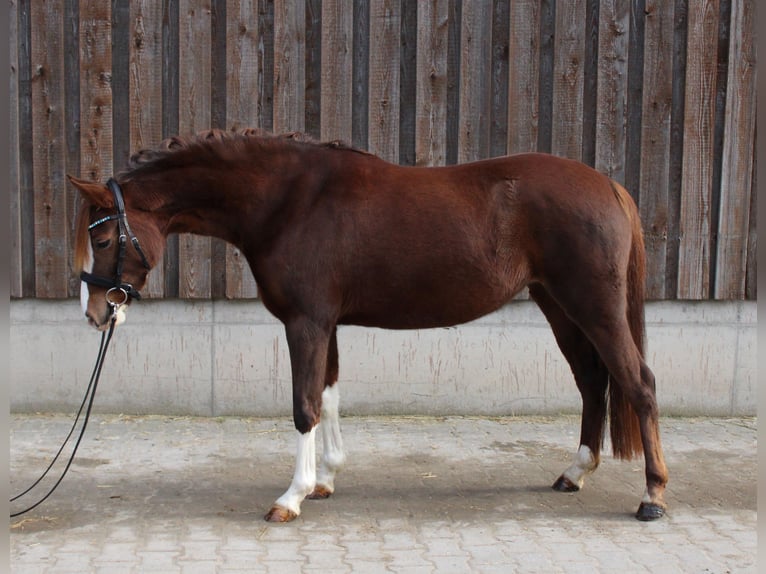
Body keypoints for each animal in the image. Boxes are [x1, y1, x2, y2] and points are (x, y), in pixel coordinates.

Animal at [73, 129, 672, 520]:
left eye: (102, 237)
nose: (95, 312)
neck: (288, 201)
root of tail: (608, 186)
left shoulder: (306, 323)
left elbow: (304, 405)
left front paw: (290, 497)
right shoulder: (327, 324)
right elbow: (329, 397)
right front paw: (324, 481)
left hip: (593, 306)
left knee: (638, 383)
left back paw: (652, 497)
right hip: (558, 305)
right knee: (593, 384)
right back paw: (575, 473)